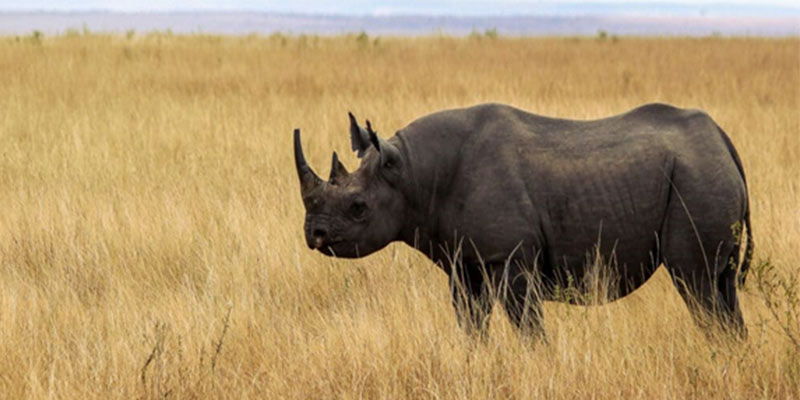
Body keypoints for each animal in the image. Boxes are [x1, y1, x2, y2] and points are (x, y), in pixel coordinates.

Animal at [293, 103, 752, 338]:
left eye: (358, 207)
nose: (313, 234)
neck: (411, 172)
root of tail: (723, 140)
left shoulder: (509, 257)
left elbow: (527, 326)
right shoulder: (464, 261)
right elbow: (471, 322)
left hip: (695, 177)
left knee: (696, 283)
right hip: (702, 171)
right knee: (722, 287)